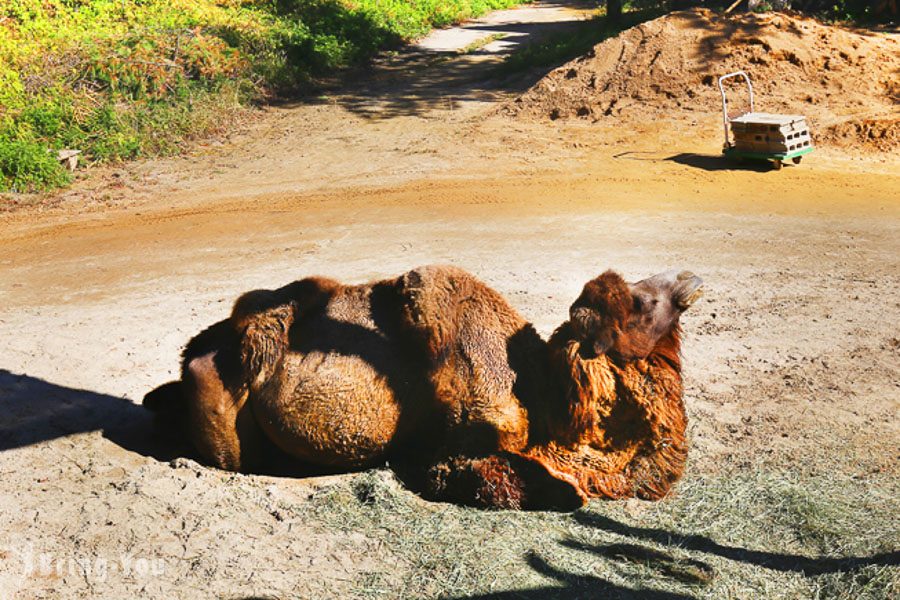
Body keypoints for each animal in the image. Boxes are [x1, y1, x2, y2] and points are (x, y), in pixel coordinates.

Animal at [144, 268, 704, 510]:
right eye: (642, 302)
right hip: (223, 415)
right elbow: (541, 488)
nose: (689, 279)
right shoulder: (460, 442)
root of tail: (196, 354)